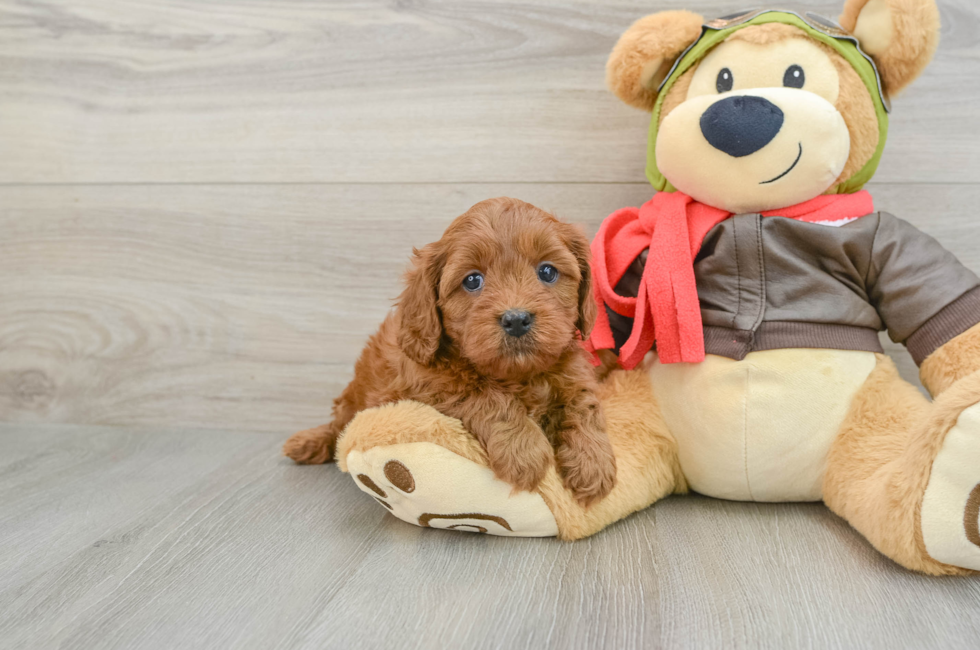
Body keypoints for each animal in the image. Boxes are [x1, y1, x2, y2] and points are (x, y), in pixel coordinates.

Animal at [284, 197, 616, 506]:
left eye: (547, 272)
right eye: (472, 280)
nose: (516, 319)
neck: (518, 375)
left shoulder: (572, 371)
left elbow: (583, 404)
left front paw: (593, 462)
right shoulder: (427, 385)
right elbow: (486, 396)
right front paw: (523, 449)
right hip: (353, 400)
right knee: (338, 428)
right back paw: (306, 443)